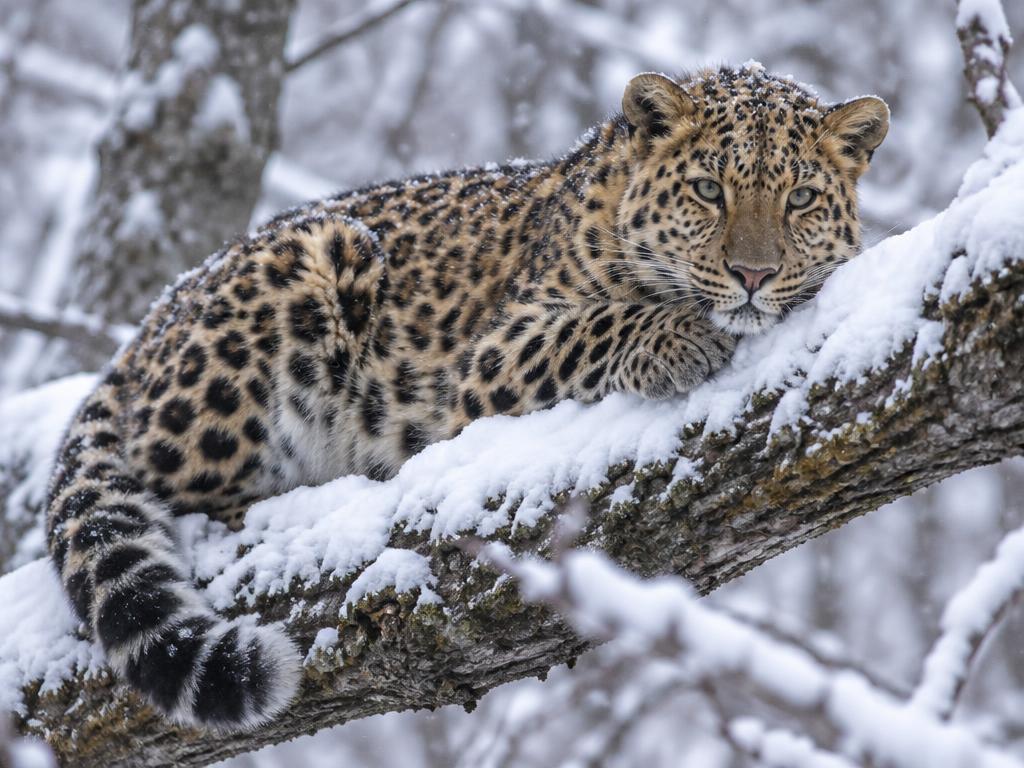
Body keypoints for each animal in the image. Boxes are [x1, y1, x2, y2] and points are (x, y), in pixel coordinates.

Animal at [44, 64, 888, 730]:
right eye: (709, 191)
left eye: (802, 199)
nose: (753, 275)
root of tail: (160, 309)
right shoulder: (495, 352)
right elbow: (597, 325)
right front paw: (681, 335)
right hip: (314, 260)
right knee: (172, 480)